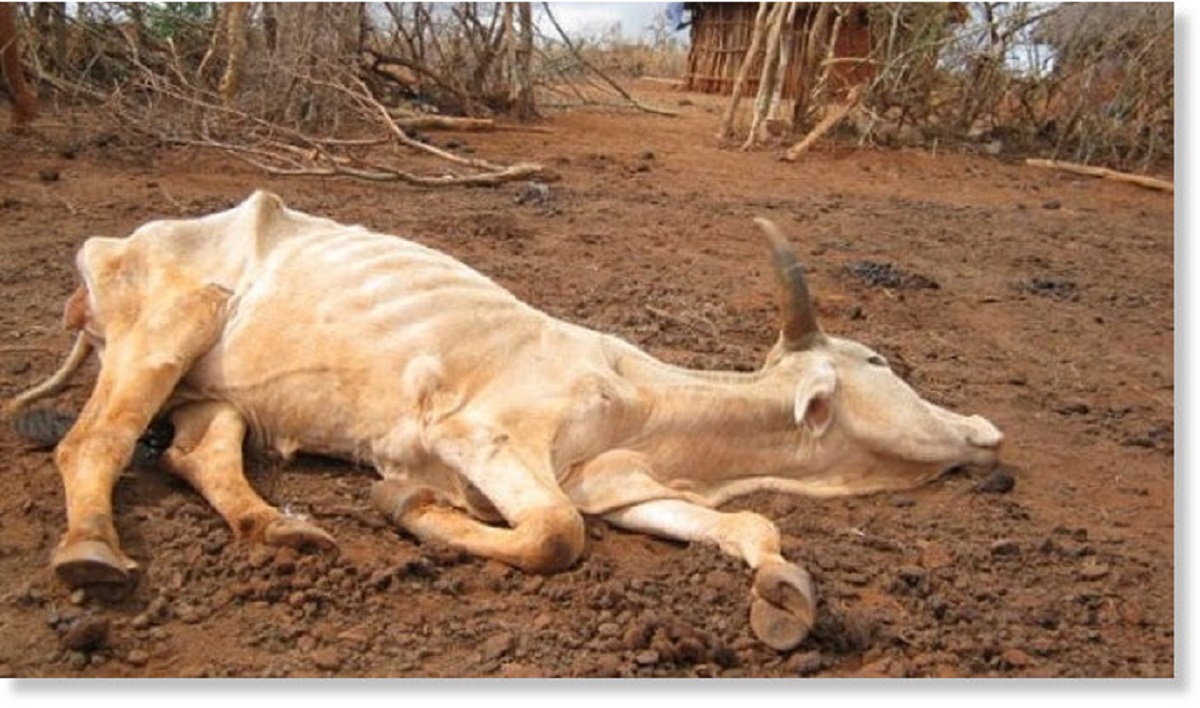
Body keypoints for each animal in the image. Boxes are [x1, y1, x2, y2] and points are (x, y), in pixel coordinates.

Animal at [5, 191, 1003, 650]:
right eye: (878, 362)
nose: (987, 431)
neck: (648, 407)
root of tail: (117, 242)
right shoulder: (474, 436)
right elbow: (557, 534)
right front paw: (412, 510)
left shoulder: (621, 486)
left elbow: (747, 524)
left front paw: (781, 590)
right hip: (164, 331)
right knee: (95, 442)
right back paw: (91, 551)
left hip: (215, 390)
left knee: (199, 454)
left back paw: (280, 528)